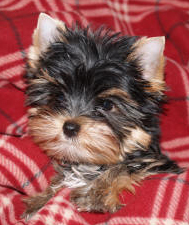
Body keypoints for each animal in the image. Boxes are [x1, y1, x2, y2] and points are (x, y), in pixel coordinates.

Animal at [22, 13, 182, 219]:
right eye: (59, 96)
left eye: (107, 105)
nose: (70, 127)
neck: (90, 163)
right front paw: (39, 201)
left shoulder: (155, 162)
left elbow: (122, 167)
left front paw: (96, 194)